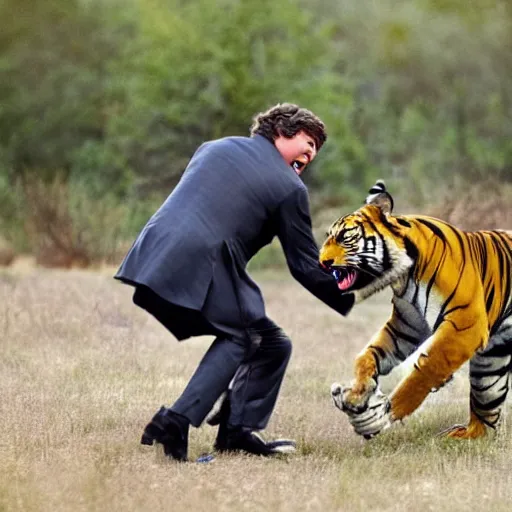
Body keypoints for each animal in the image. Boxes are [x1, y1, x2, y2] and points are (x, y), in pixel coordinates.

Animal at [320, 180, 512, 440]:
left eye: (345, 236)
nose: (322, 262)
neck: (404, 275)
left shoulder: (465, 325)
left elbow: (424, 371)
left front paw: (382, 413)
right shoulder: (406, 325)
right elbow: (368, 355)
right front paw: (358, 394)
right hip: (493, 355)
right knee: (488, 395)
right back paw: (470, 434)